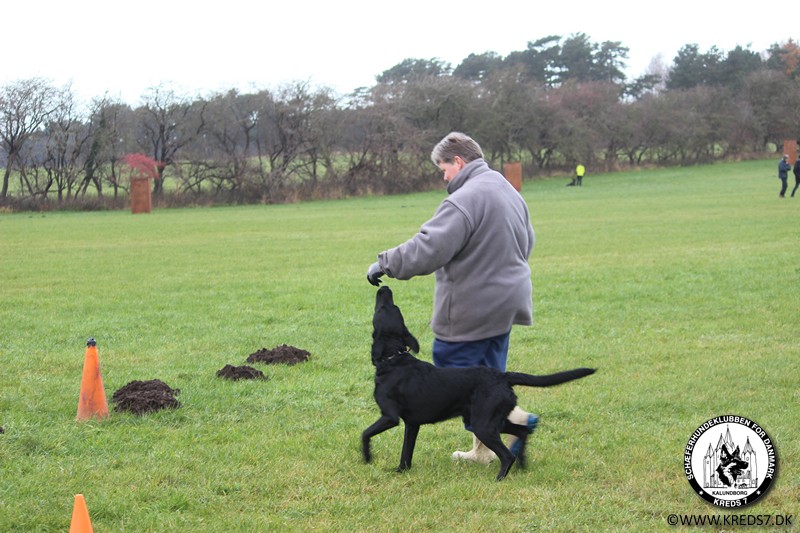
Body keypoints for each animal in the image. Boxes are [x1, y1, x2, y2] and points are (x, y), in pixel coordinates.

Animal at [362, 286, 596, 481]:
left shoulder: (390, 417)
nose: (384, 287)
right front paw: (400, 471)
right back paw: (522, 465)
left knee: (507, 454)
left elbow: (365, 433)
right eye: (390, 306)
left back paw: (500, 478)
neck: (394, 358)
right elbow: (406, 453)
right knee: (522, 431)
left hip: (483, 423)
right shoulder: (412, 424)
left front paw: (366, 458)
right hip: (491, 419)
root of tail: (503, 376)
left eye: (384, 308)